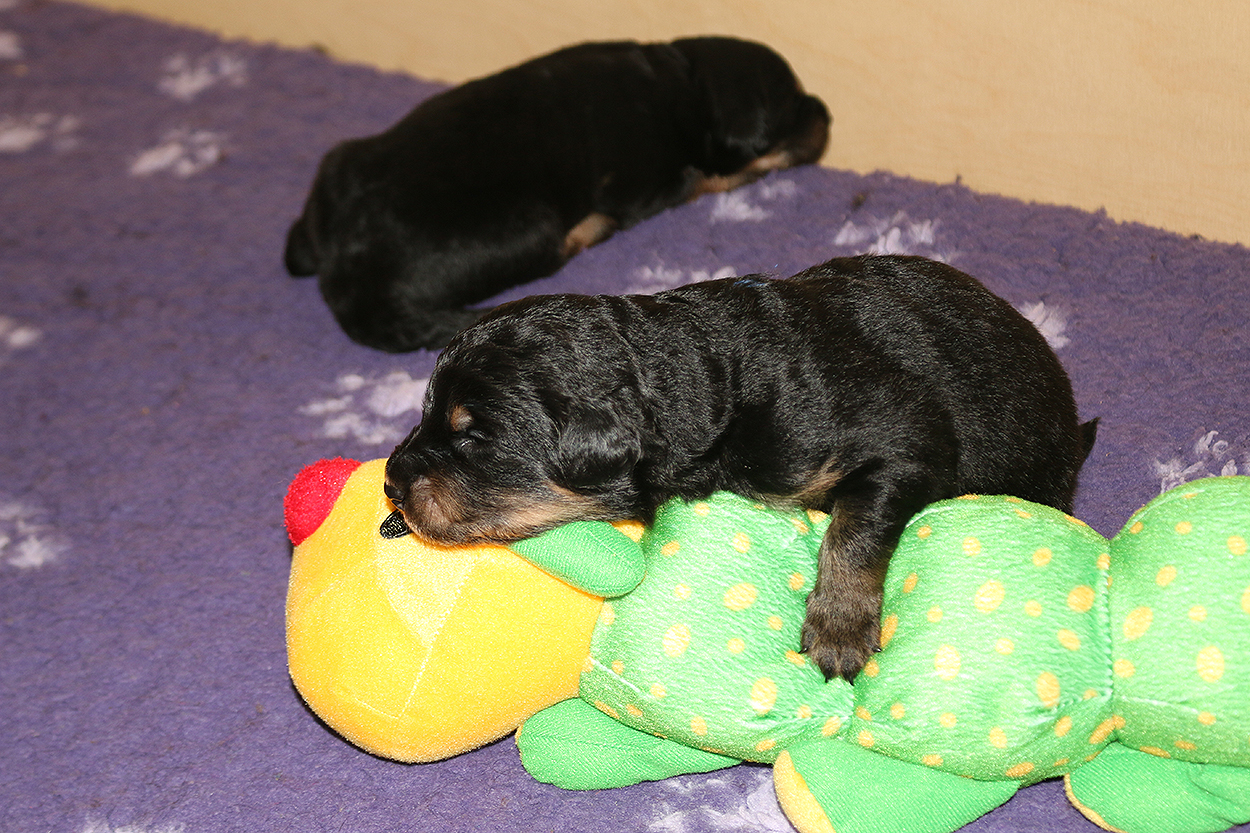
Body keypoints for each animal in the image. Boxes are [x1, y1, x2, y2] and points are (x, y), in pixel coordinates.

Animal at [284, 37, 830, 352]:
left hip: (337, 164)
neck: (686, 79)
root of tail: (344, 274)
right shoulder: (651, 184)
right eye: (792, 107)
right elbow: (706, 177)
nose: (824, 108)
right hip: (530, 223)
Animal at [384, 254, 1098, 680]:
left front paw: (838, 630)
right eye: (427, 413)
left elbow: (854, 528)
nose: (390, 482)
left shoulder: (906, 440)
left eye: (474, 437)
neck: (704, 374)